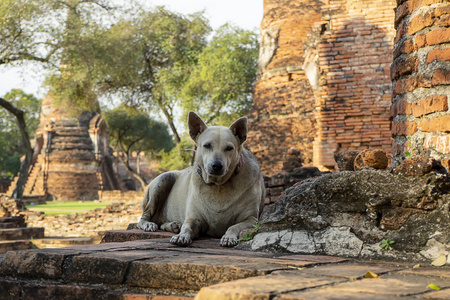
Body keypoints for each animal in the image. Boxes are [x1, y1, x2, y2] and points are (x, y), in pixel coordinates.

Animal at [137, 110, 264, 246]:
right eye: (207, 145)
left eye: (229, 148)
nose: (217, 165)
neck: (218, 186)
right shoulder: (194, 217)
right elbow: (187, 226)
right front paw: (181, 236)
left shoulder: (251, 219)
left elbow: (234, 226)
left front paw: (228, 237)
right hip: (163, 180)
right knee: (144, 216)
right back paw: (150, 224)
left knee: (160, 223)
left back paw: (172, 225)